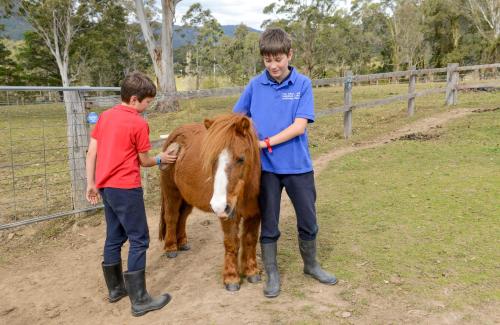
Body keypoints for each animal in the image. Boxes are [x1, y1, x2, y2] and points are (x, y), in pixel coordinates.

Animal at [159, 112, 262, 290]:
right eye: (212, 160)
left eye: (241, 159)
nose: (218, 205)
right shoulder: (229, 215)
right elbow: (231, 243)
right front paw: (231, 278)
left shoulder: (254, 213)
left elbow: (250, 240)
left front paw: (251, 271)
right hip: (172, 193)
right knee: (171, 217)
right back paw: (171, 248)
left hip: (187, 198)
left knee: (182, 217)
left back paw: (182, 243)